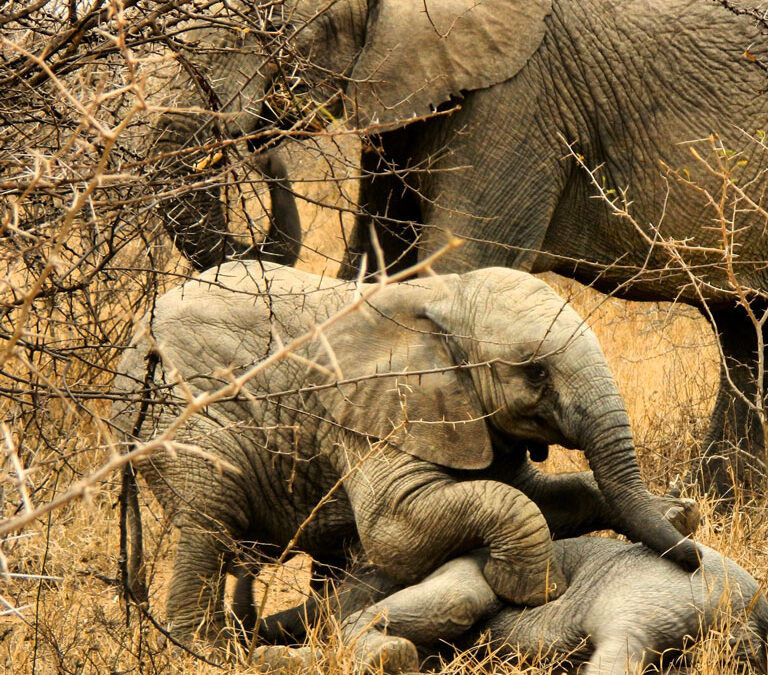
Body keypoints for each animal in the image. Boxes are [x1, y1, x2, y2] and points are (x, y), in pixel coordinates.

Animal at [111, 262, 699, 643]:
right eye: (535, 372)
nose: (693, 560)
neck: (443, 298)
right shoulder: (374, 412)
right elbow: (395, 532)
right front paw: (530, 588)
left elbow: (540, 494)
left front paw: (676, 515)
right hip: (180, 418)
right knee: (210, 517)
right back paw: (204, 649)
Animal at [149, 0, 768, 497]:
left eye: (271, 27)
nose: (261, 153)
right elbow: (375, 265)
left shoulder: (520, 95)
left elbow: (460, 265)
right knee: (743, 329)